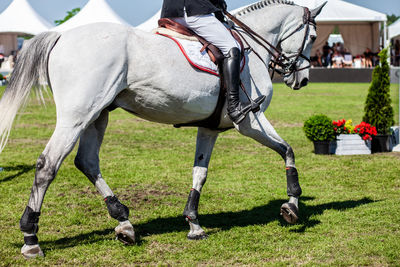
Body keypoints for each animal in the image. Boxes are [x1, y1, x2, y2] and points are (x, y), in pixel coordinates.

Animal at [0, 0, 324, 260]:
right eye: (313, 37)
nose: (302, 80)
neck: (252, 47)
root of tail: (62, 35)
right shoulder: (249, 120)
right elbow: (288, 150)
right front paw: (292, 205)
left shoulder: (210, 128)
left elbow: (200, 172)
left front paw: (193, 224)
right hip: (76, 116)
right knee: (47, 165)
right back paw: (31, 238)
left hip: (97, 114)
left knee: (88, 162)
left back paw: (124, 222)